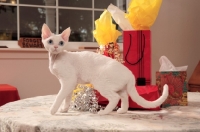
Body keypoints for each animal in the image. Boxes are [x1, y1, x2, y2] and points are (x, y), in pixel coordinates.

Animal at [41, 24, 169, 115]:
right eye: (50, 41)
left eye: (61, 42)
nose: (56, 47)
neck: (55, 58)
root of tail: (129, 73)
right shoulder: (70, 84)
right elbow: (66, 98)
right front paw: (64, 109)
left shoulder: (68, 81)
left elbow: (59, 96)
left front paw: (53, 110)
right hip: (120, 88)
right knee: (124, 97)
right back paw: (122, 111)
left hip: (101, 83)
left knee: (115, 98)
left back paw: (104, 112)